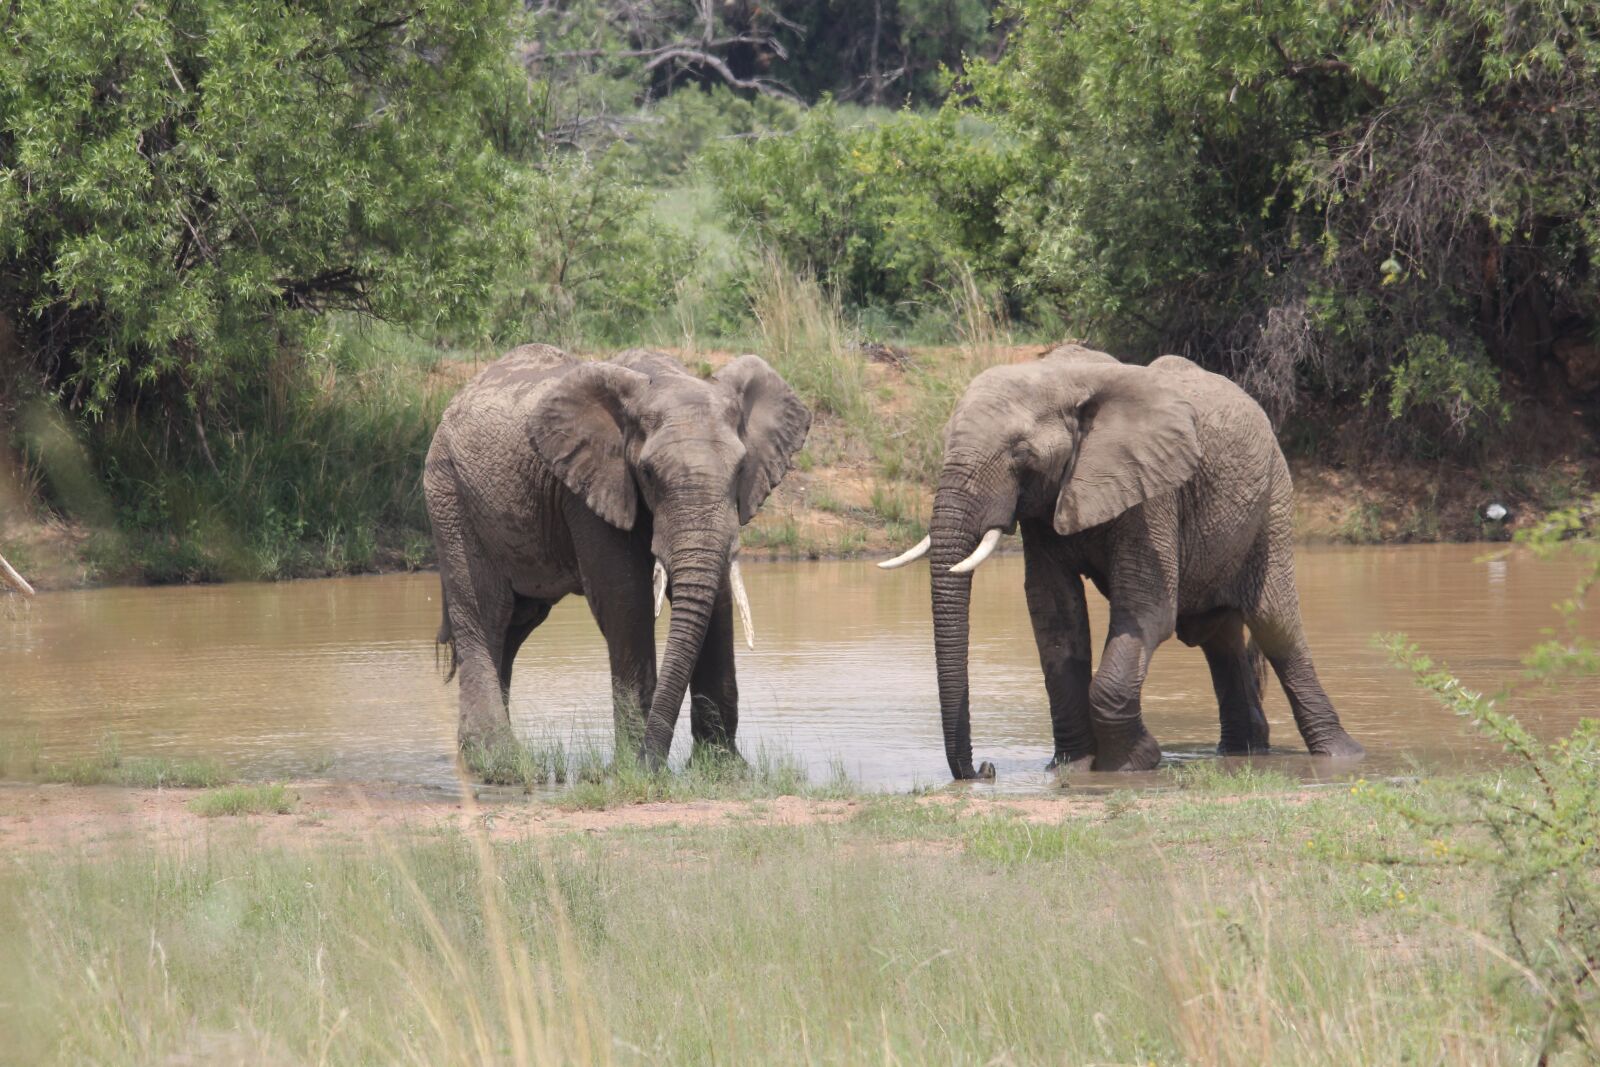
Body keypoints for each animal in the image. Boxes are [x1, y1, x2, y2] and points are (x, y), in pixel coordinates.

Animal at [424, 344, 810, 769]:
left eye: (741, 468)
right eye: (648, 472)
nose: (651, 762)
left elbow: (718, 600)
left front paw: (724, 769)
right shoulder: (589, 488)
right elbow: (626, 598)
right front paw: (633, 769)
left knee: (517, 622)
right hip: (449, 494)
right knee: (485, 614)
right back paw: (497, 761)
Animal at [880, 344, 1362, 779]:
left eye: (1021, 454)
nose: (985, 768)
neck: (1059, 377)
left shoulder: (1153, 493)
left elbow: (1146, 611)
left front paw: (1132, 765)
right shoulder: (1046, 505)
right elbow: (1056, 617)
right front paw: (1071, 768)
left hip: (1273, 500)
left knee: (1275, 625)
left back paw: (1342, 756)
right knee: (1220, 637)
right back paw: (1244, 752)